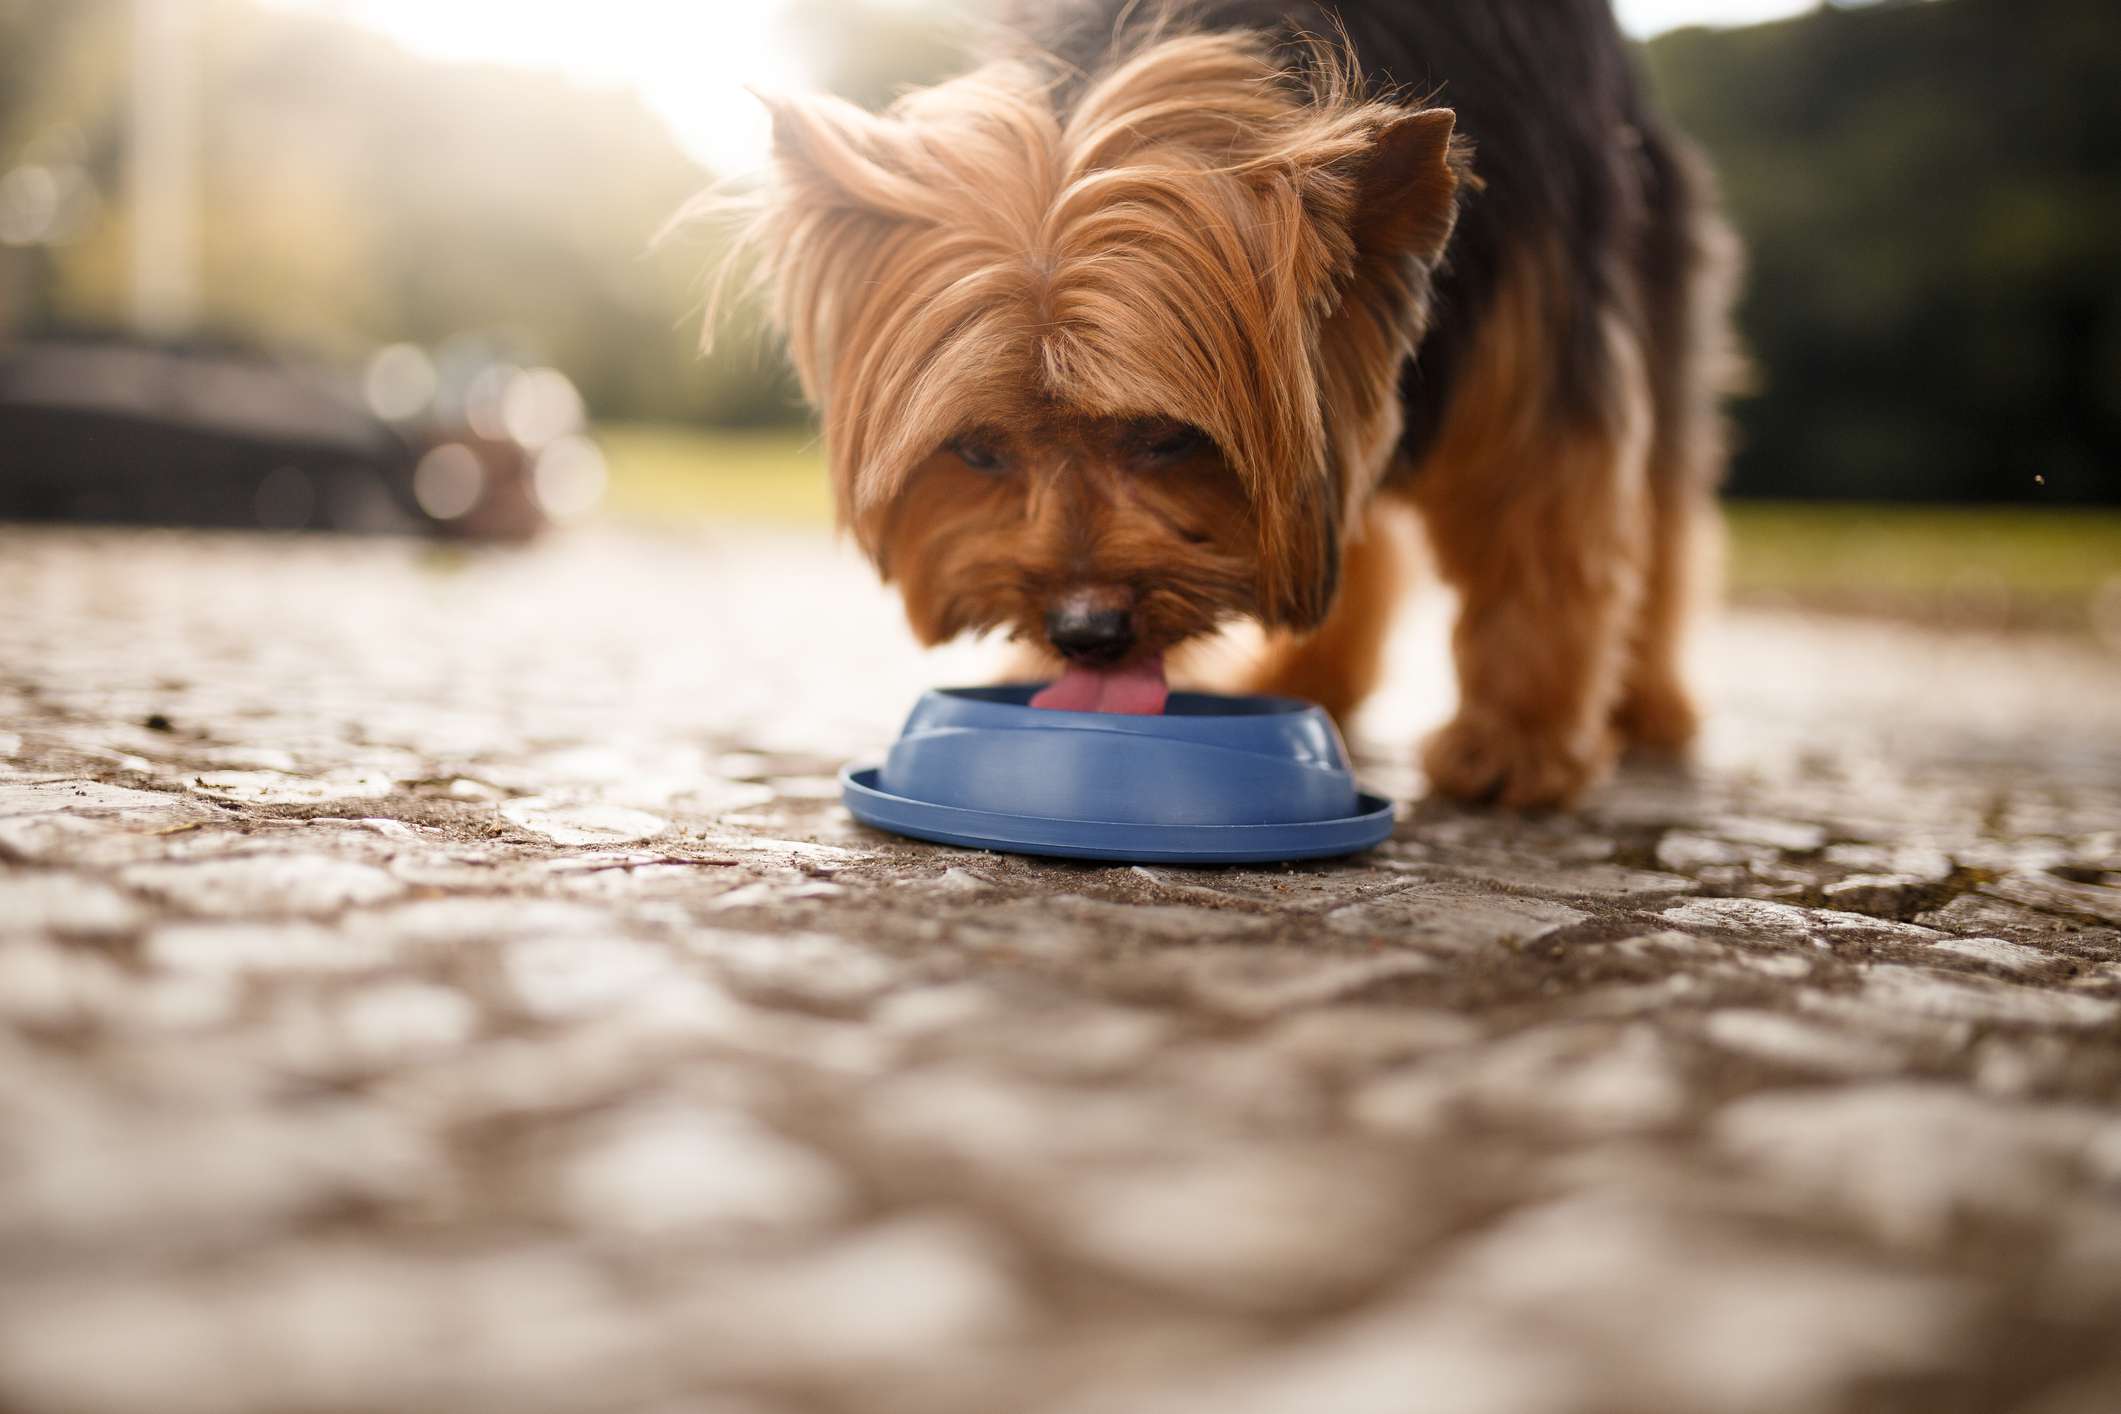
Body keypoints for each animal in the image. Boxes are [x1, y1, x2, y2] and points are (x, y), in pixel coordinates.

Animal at [712, 0, 1739, 805]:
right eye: (979, 451)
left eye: (1169, 437)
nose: (1084, 635)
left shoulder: (1539, 298)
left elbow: (1540, 521)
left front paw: (1516, 743)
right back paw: (1312, 669)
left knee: (1660, 508)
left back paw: (1645, 704)